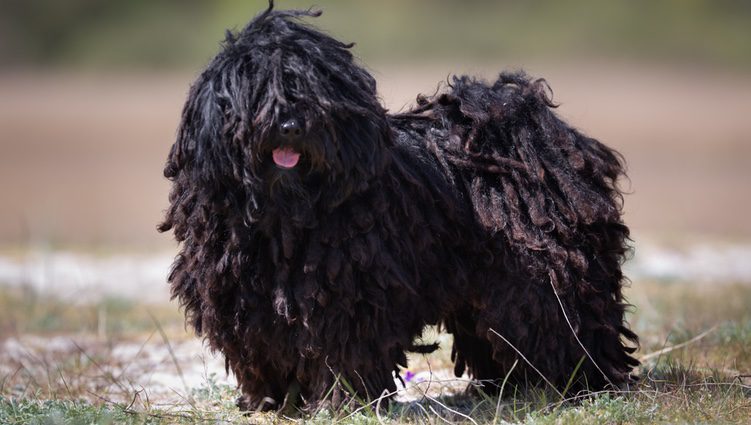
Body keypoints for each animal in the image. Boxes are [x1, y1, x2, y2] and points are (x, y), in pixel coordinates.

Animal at [160, 0, 640, 410]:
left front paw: (341, 402)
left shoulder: (349, 296)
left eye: (313, 91)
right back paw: (508, 385)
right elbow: (259, 349)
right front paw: (269, 401)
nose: (290, 125)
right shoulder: (243, 298)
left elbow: (342, 351)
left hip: (547, 274)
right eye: (256, 89)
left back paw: (579, 382)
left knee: (567, 322)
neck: (285, 219)